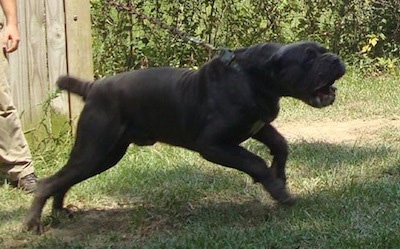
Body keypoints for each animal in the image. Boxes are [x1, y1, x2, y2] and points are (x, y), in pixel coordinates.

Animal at [25, 40, 344, 233]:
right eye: (309, 58)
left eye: (323, 50)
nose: (336, 58)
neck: (256, 77)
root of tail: (93, 88)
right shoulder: (213, 145)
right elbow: (254, 162)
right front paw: (278, 190)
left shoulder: (259, 125)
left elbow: (280, 144)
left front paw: (279, 174)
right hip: (95, 150)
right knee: (51, 181)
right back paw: (33, 224)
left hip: (105, 155)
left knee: (64, 179)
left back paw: (60, 212)